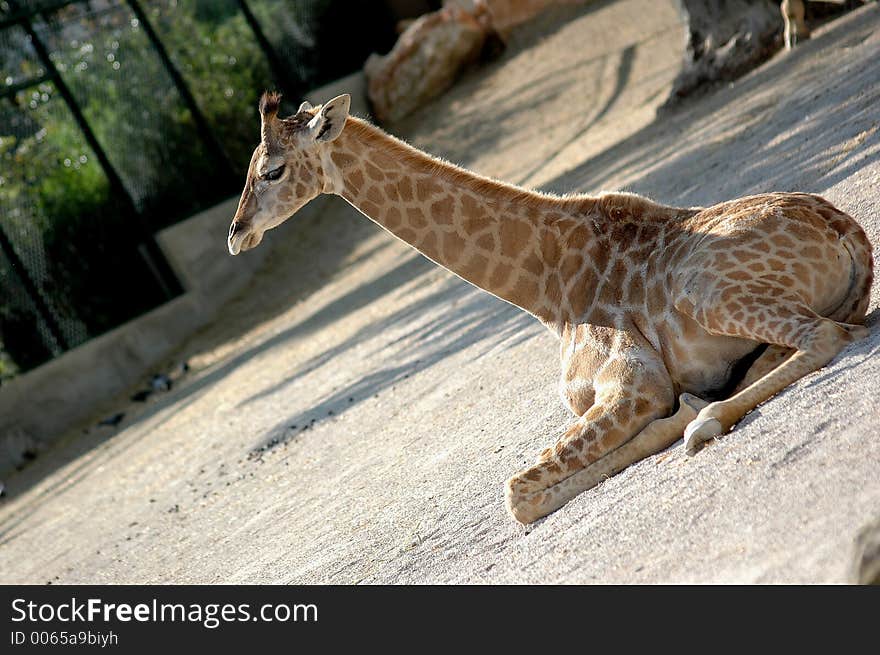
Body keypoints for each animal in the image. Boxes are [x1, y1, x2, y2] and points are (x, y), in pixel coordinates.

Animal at [230, 92, 876, 524]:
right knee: (810, 339)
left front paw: (683, 417)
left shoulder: (633, 382)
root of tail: (847, 232)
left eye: (273, 170)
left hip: (705, 291)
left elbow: (518, 495)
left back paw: (705, 421)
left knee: (824, 338)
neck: (547, 288)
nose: (237, 235)